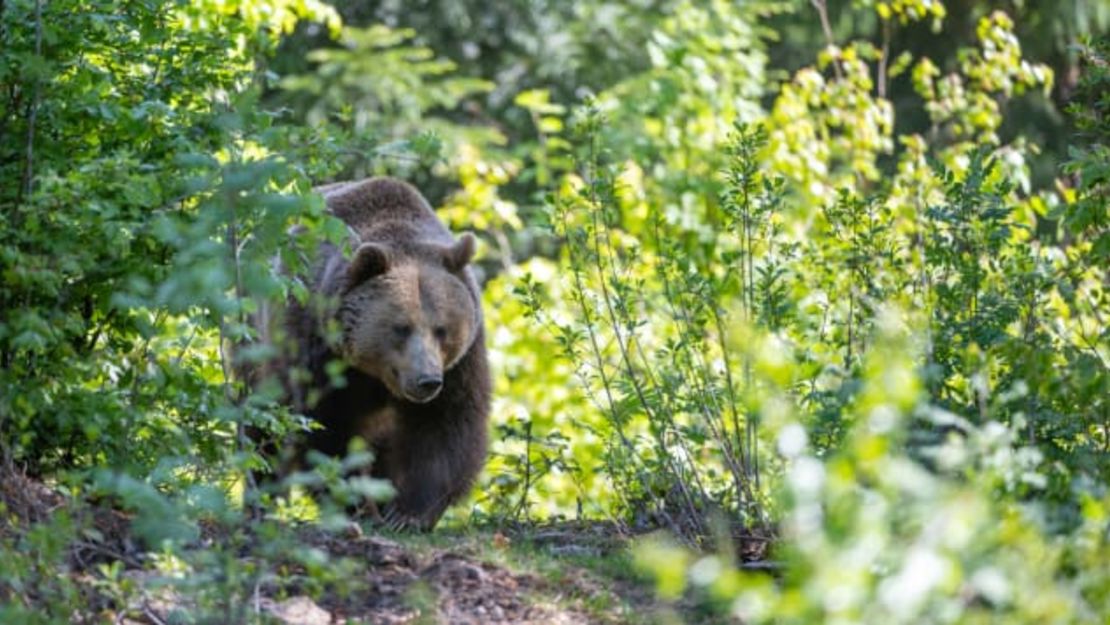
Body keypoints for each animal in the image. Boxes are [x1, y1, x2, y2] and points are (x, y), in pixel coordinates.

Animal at [255, 175, 495, 528]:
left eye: (442, 329)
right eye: (401, 327)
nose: (427, 381)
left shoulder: (461, 363)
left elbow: (446, 423)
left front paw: (407, 513)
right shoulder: (314, 344)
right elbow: (325, 425)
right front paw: (359, 506)